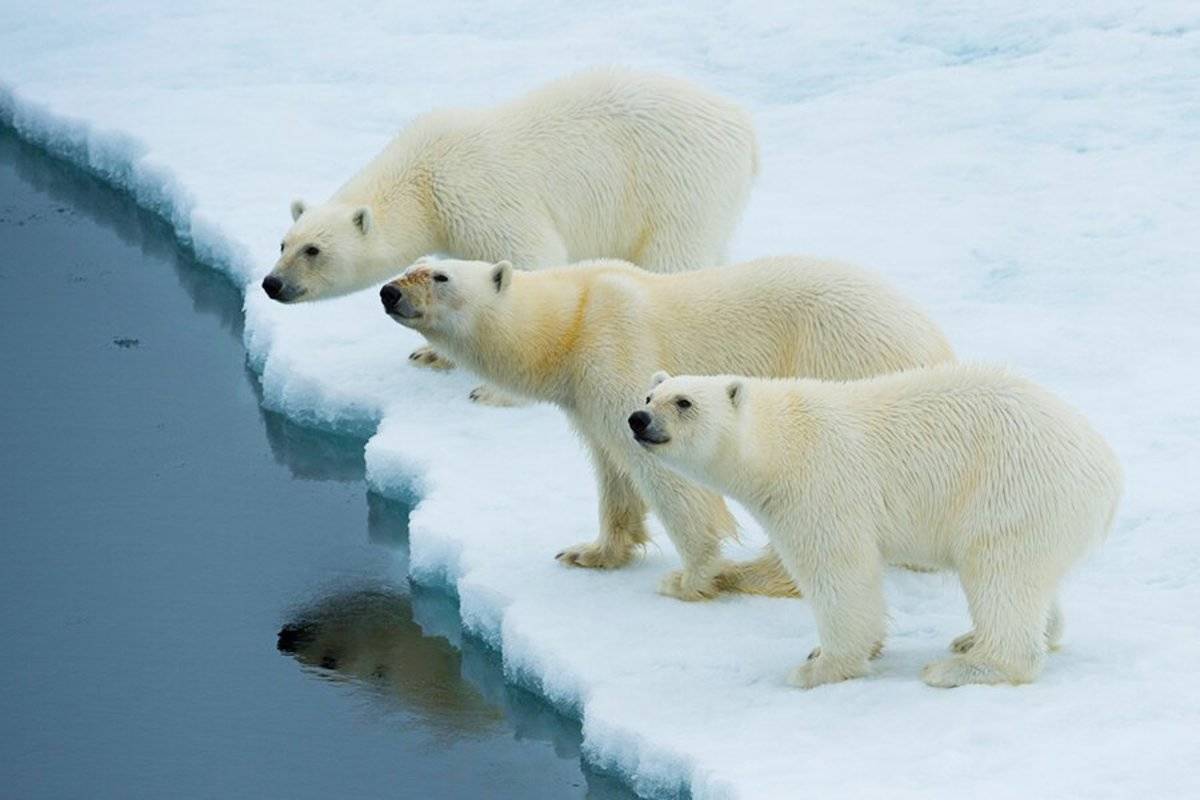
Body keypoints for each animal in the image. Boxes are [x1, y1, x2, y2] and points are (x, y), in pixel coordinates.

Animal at [379, 256, 950, 599]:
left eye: (441, 276)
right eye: (413, 265)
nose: (388, 292)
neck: (573, 320)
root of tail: (933, 344)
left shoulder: (618, 350)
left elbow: (667, 474)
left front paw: (694, 577)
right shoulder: (584, 397)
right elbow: (612, 468)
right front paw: (590, 552)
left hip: (840, 359)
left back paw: (753, 574)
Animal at [638, 367, 1123, 686]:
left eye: (684, 402)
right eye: (648, 396)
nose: (637, 420)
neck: (780, 444)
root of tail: (1107, 471)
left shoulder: (821, 487)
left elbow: (840, 573)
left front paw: (819, 666)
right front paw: (825, 652)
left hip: (1011, 490)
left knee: (999, 573)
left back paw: (961, 667)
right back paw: (976, 639)